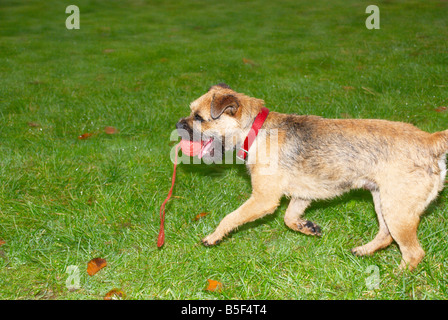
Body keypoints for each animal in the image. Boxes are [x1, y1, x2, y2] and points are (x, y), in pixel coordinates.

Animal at [176, 83, 448, 270]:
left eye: (199, 118)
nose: (178, 124)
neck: (256, 130)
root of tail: (430, 140)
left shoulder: (263, 199)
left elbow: (230, 217)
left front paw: (213, 236)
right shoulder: (302, 195)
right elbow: (289, 218)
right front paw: (307, 227)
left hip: (397, 210)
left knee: (413, 253)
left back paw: (396, 276)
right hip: (383, 200)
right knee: (386, 235)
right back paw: (364, 251)